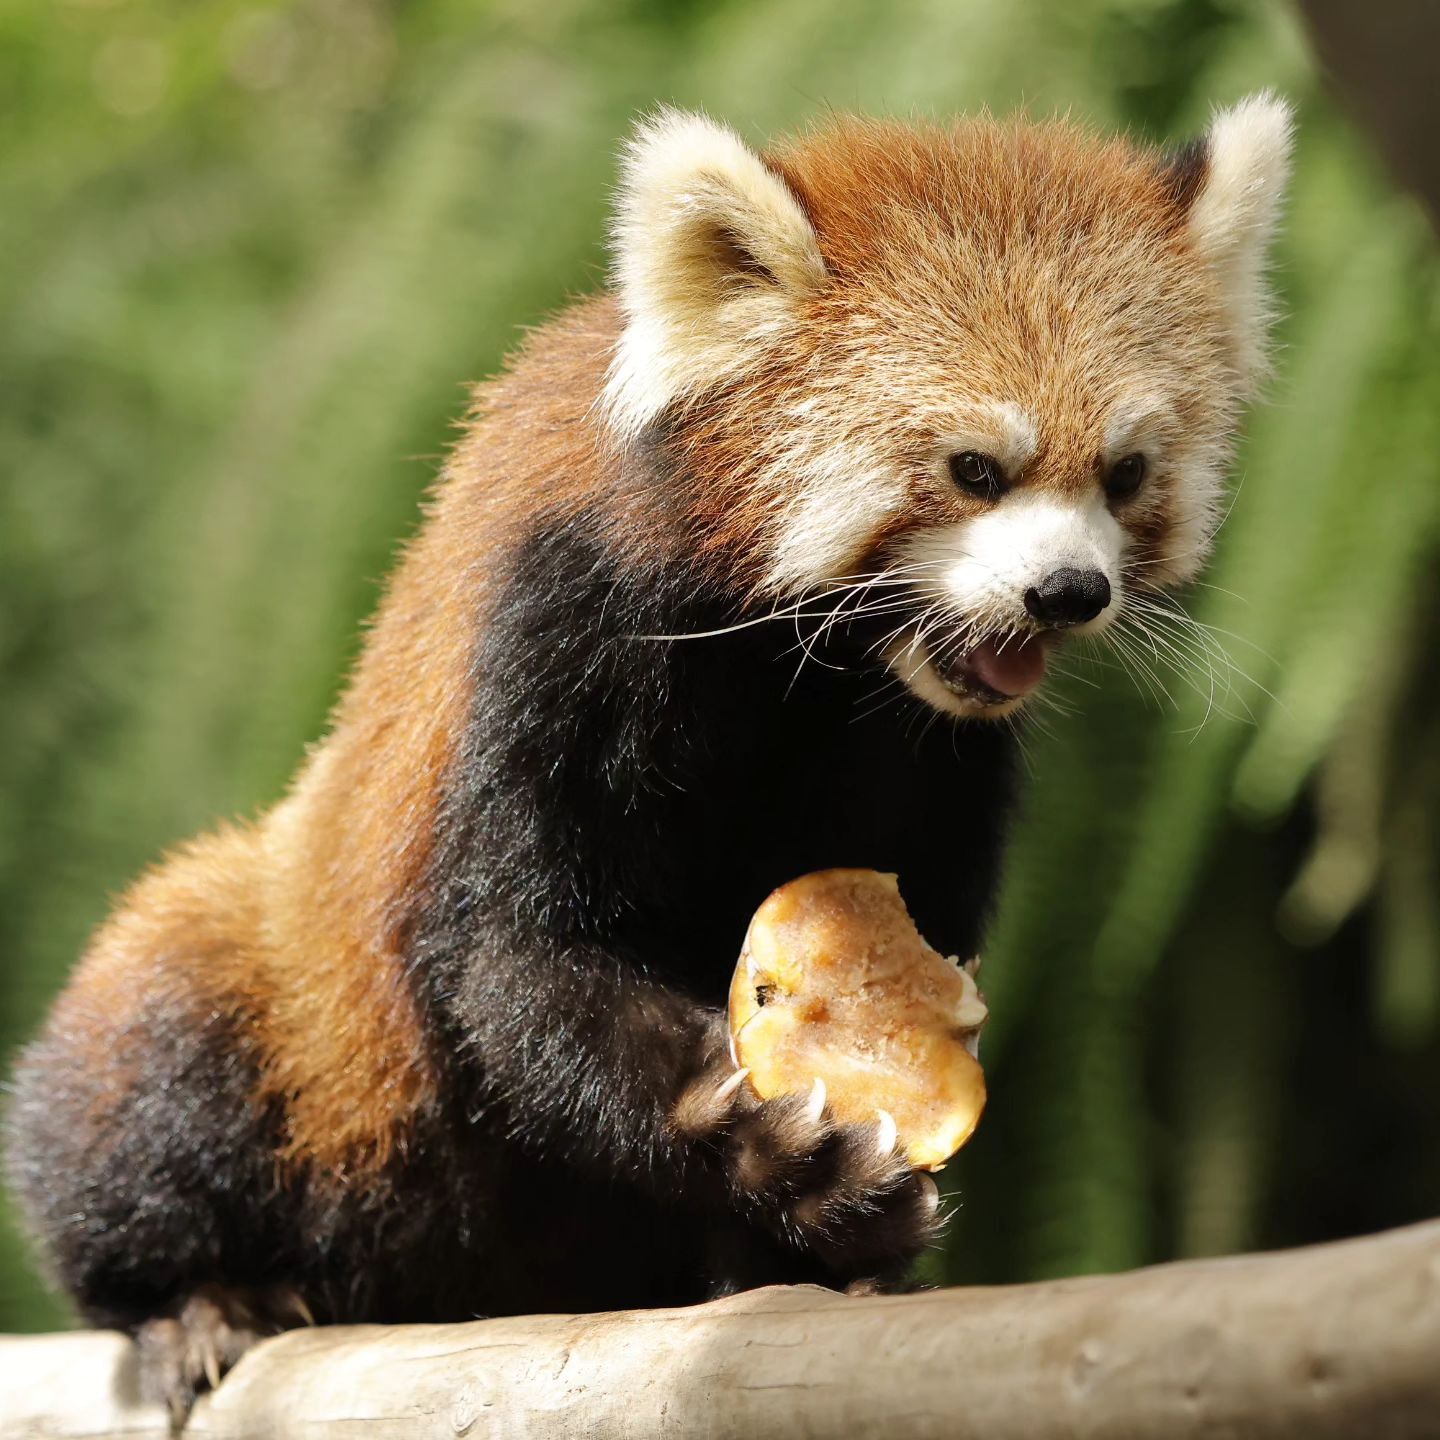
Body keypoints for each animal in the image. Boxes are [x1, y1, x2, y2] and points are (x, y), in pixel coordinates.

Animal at [2, 101, 1296, 1416]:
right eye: (975, 469)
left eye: (1125, 475)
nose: (1068, 591)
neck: (810, 674)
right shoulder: (562, 624)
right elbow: (511, 959)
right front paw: (773, 1141)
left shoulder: (927, 752)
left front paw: (840, 1231)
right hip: (272, 1011)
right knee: (147, 1099)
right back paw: (197, 1301)